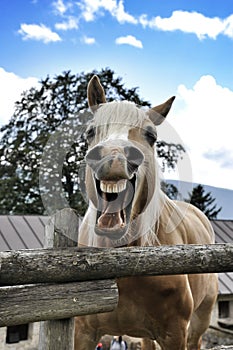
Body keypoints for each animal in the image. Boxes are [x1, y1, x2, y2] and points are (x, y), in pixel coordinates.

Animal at [75, 75, 219, 348]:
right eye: (90, 131)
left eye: (151, 135)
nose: (113, 156)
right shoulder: (83, 332)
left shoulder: (175, 333)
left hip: (200, 321)